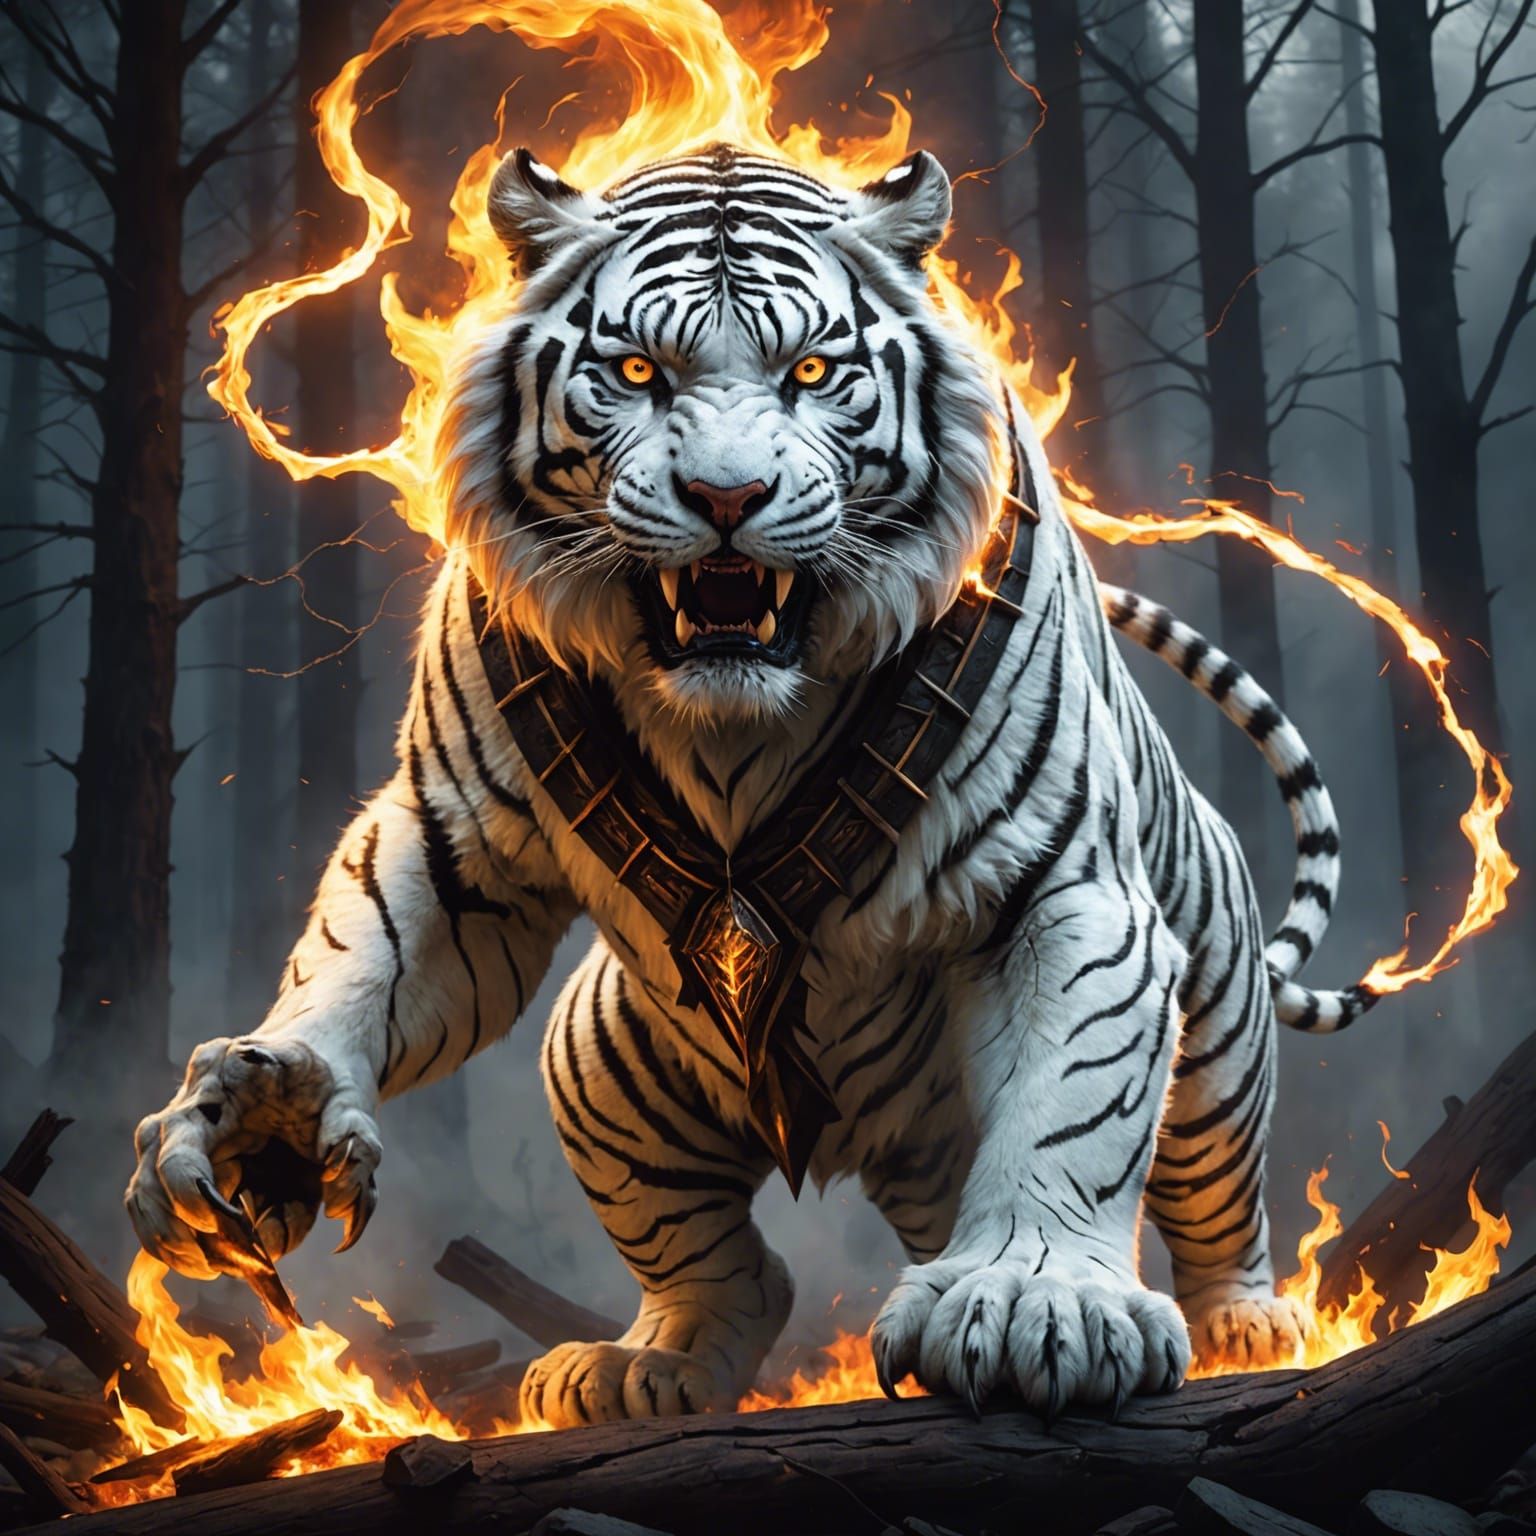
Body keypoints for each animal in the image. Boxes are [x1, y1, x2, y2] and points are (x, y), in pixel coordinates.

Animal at [126, 142, 1377, 1427]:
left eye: (812, 371)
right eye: (637, 370)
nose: (727, 500)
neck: (731, 720)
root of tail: (889, 1152)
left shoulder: (1062, 890)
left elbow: (1069, 1106)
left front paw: (1036, 1303)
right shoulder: (458, 843)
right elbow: (361, 954)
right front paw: (264, 1112)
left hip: (1216, 1043)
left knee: (1214, 1198)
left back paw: (1244, 1325)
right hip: (598, 1066)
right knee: (733, 1269)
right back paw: (646, 1364)